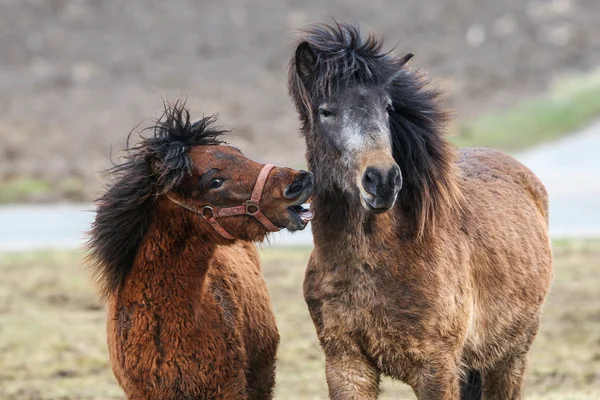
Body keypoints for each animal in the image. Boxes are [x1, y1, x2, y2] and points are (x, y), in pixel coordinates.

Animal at [288, 21, 552, 400]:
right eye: (325, 111)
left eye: (387, 107)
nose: (382, 180)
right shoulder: (346, 366)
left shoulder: (436, 370)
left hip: (509, 358)